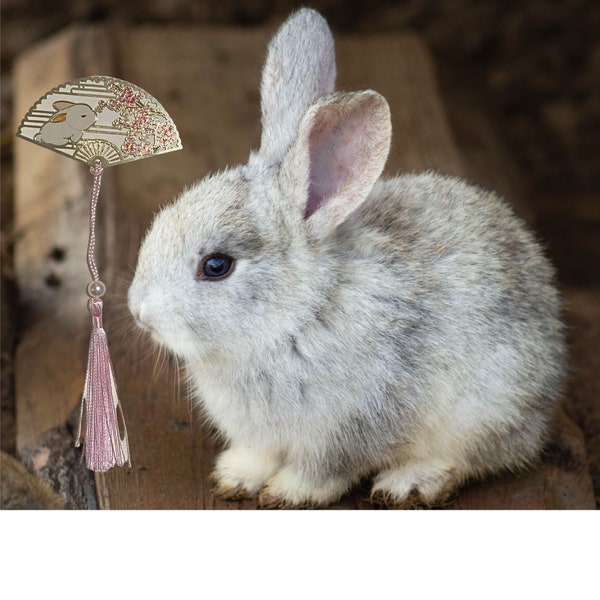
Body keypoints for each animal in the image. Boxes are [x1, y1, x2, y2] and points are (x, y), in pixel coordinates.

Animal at [129, 8, 564, 506]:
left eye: (217, 266)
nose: (138, 310)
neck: (297, 317)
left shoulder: (348, 428)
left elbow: (324, 472)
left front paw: (286, 493)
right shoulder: (260, 436)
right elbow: (256, 455)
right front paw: (235, 478)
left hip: (485, 408)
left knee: (471, 458)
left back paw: (408, 482)